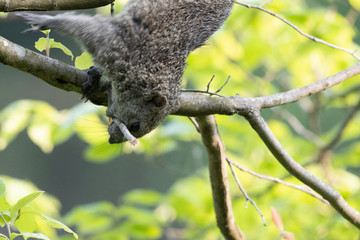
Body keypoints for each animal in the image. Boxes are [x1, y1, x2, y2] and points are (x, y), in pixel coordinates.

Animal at [17, 0, 233, 144]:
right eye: (135, 126)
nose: (112, 141)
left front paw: (96, 78)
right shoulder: (116, 41)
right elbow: (77, 25)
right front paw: (41, 19)